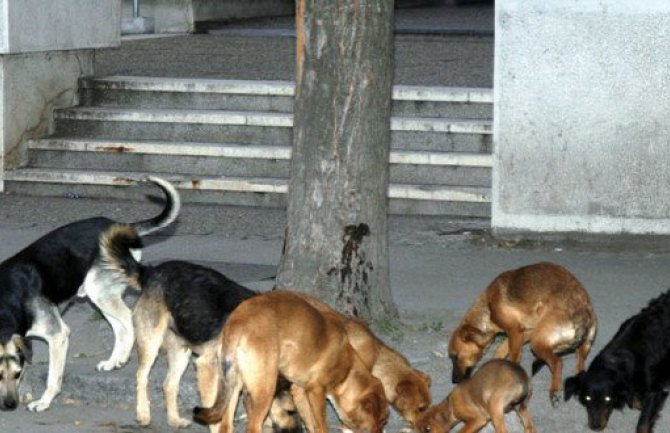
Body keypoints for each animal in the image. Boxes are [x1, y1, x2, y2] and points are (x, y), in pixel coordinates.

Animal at [0, 176, 181, 412]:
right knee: (120, 328)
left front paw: (44, 401)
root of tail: (122, 226)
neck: (7, 302)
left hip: (100, 291)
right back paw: (114, 361)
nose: (9, 406)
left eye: (18, 374)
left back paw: (123, 357)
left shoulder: (58, 336)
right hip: (101, 296)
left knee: (128, 320)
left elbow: (53, 377)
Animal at [192, 288, 388, 433]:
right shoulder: (316, 392)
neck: (347, 370)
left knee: (225, 425)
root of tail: (238, 322)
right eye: (382, 420)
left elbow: (312, 424)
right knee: (253, 427)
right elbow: (321, 425)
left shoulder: (300, 391)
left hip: (233, 387)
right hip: (265, 390)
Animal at [452, 260, 600, 404]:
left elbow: (513, 357)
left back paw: (554, 391)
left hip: (537, 342)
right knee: (580, 367)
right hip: (580, 347)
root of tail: (583, 313)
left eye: (455, 356)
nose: (453, 380)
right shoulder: (524, 332)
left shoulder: (515, 331)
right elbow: (500, 350)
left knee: (557, 363)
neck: (487, 307)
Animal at [568, 286, 670, 432]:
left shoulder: (654, 390)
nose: (595, 427)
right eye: (587, 399)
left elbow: (643, 422)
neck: (616, 359)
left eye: (608, 399)